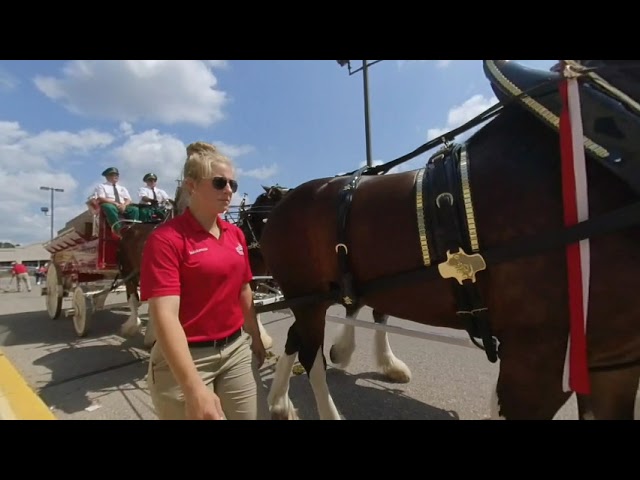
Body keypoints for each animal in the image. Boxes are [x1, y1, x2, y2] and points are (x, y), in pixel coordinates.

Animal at [252, 61, 640, 420]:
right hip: (307, 296)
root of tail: (286, 204)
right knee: (310, 354)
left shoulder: (613, 364)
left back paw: (279, 400)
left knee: (300, 338)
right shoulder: (538, 358)